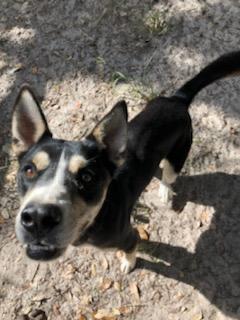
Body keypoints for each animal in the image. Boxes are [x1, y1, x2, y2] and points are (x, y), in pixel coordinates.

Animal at [12, 51, 240, 272]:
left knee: (169, 176)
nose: (38, 218)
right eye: (29, 170)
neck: (97, 215)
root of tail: (177, 99)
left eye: (87, 177)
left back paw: (165, 191)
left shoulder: (129, 236)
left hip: (178, 156)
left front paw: (128, 264)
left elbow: (131, 250)